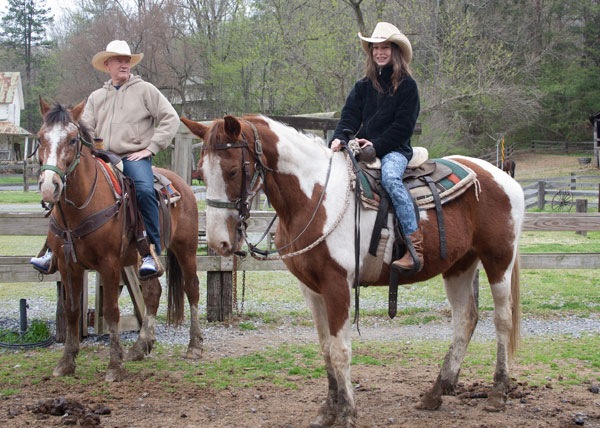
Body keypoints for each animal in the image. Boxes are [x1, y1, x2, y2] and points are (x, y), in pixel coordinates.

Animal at [37, 98, 203, 382]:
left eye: (72, 139)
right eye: (39, 138)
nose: (50, 187)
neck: (82, 206)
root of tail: (181, 183)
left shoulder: (109, 263)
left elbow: (112, 310)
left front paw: (114, 365)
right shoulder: (68, 266)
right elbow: (72, 310)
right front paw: (66, 361)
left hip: (185, 249)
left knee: (191, 288)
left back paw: (194, 346)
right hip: (139, 259)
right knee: (153, 292)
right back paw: (140, 346)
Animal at [180, 114, 524, 427]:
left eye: (233, 170)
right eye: (201, 174)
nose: (219, 242)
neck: (313, 198)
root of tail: (502, 177)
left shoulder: (338, 285)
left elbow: (340, 350)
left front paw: (347, 413)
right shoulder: (311, 289)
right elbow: (324, 348)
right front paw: (327, 410)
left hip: (498, 260)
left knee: (502, 319)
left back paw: (497, 393)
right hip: (459, 265)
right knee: (465, 319)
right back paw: (436, 392)